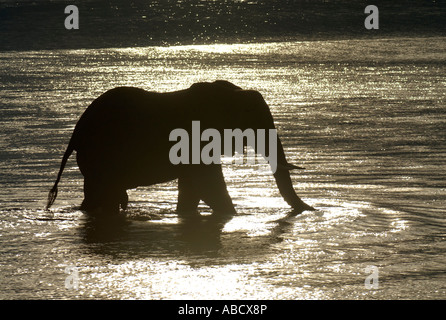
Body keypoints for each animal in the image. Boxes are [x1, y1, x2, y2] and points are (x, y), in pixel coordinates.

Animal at [45, 81, 314, 219]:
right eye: (254, 120)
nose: (313, 209)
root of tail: (75, 134)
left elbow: (192, 188)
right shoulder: (198, 136)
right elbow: (207, 185)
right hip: (101, 155)